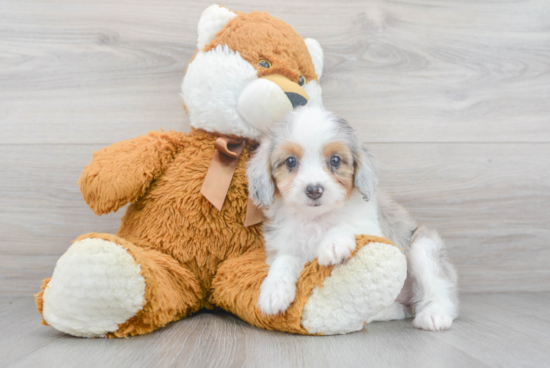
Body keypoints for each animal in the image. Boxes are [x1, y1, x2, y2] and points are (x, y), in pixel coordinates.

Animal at [248, 105, 460, 330]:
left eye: (335, 160)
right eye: (290, 161)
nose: (314, 190)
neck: (317, 218)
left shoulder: (372, 228)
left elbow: (347, 224)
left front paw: (333, 244)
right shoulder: (285, 245)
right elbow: (284, 260)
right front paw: (274, 290)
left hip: (423, 248)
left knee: (441, 289)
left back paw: (434, 314)